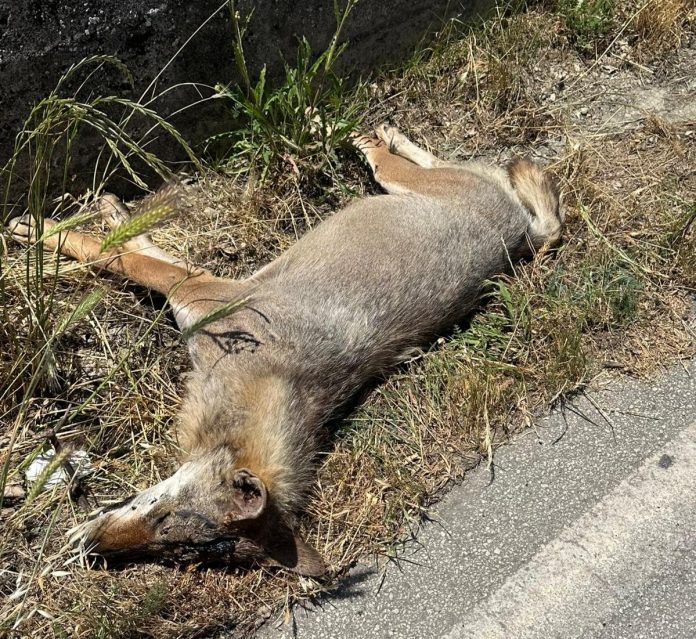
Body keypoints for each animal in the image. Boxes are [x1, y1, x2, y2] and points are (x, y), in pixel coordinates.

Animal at [8, 125, 561, 576]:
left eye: (169, 548)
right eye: (163, 530)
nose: (88, 550)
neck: (259, 382)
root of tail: (521, 233)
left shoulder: (194, 287)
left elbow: (111, 252)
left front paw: (30, 229)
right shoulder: (194, 286)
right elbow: (125, 247)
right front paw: (84, 217)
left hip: (407, 184)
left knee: (409, 160)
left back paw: (359, 132)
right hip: (415, 185)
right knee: (450, 158)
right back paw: (369, 129)